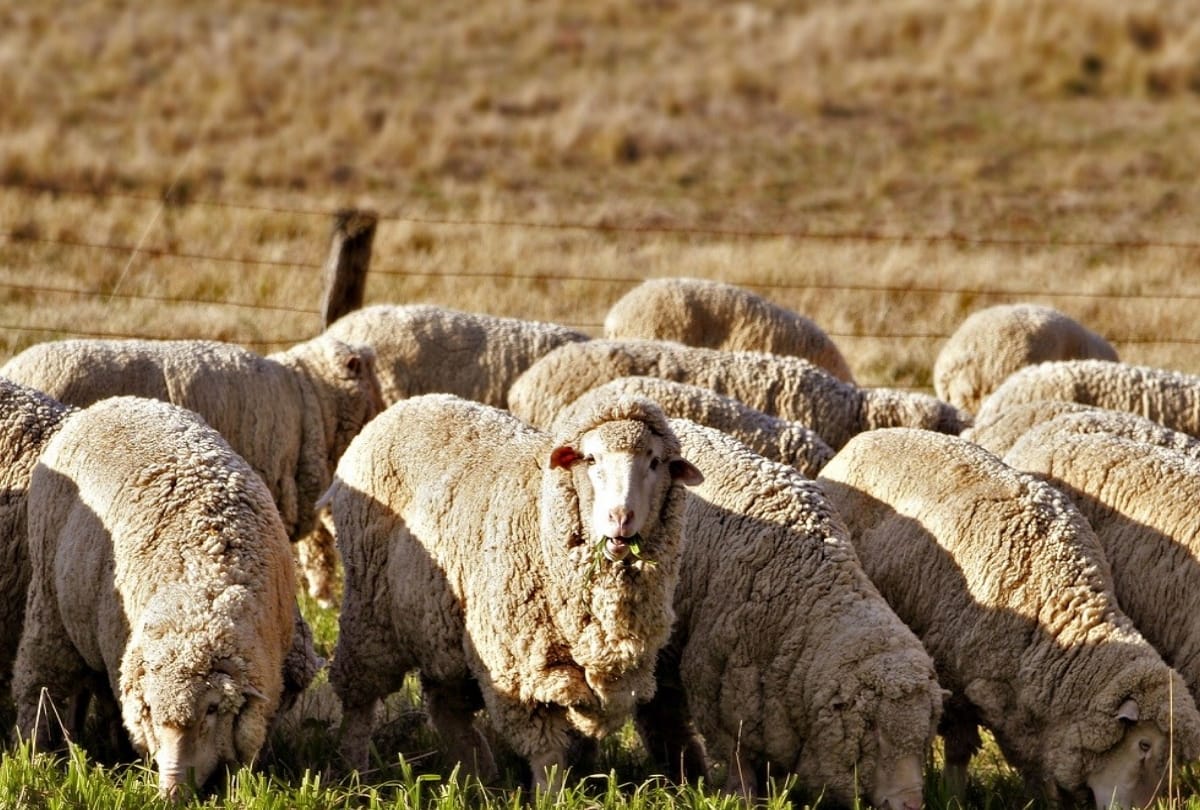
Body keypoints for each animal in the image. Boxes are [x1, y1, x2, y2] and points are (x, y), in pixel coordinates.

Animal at [13, 396, 301, 800]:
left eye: (213, 709)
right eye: (150, 710)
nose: (171, 793)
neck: (203, 590)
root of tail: (109, 403)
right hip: (49, 599)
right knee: (40, 681)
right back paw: (33, 753)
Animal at [323, 391, 702, 788]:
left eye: (655, 462)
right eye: (591, 458)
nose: (620, 517)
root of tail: (405, 405)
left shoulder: (618, 674)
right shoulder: (519, 667)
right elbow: (546, 752)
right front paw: (552, 794)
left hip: (441, 625)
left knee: (445, 703)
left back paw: (476, 775)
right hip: (369, 607)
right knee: (360, 698)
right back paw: (354, 769)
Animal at [627, 417, 944, 809]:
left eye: (925, 737)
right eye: (876, 736)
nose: (911, 803)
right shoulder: (718, 687)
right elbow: (738, 756)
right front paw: (742, 797)